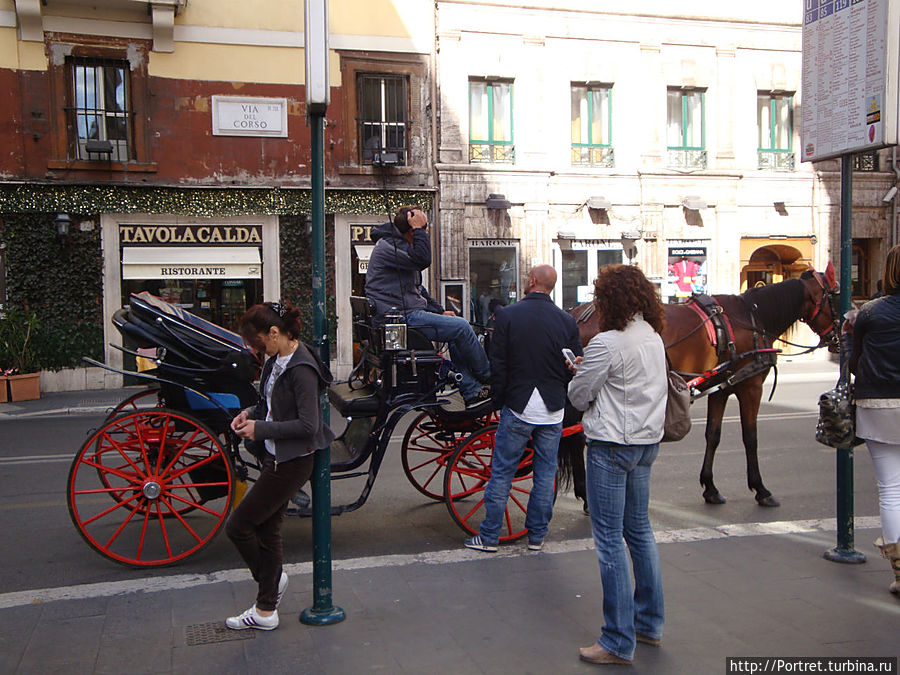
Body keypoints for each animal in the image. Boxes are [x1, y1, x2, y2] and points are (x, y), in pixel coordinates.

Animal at [560, 264, 840, 508]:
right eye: (835, 296)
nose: (838, 338)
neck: (752, 316)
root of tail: (577, 314)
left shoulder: (721, 387)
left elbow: (713, 435)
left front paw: (710, 486)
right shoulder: (750, 387)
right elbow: (750, 438)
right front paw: (760, 489)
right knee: (580, 437)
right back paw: (587, 496)